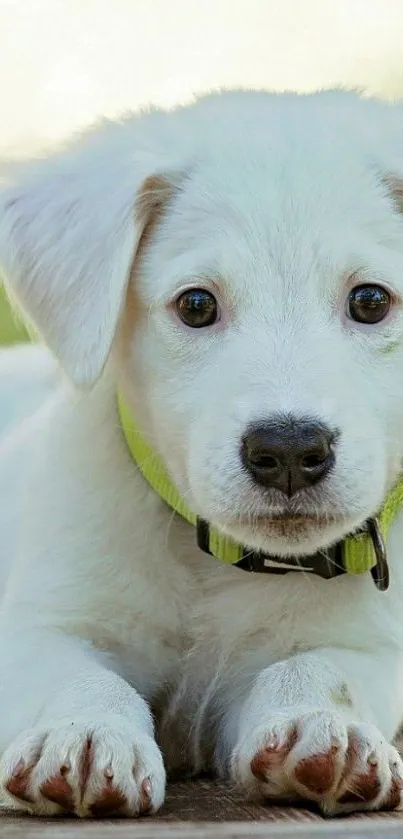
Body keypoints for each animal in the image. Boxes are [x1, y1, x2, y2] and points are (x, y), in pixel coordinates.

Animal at [0, 92, 403, 820]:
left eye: (369, 300)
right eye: (195, 305)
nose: (289, 449)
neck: (214, 563)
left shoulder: (367, 646)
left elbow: (316, 668)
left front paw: (324, 725)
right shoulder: (43, 626)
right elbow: (78, 676)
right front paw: (82, 732)